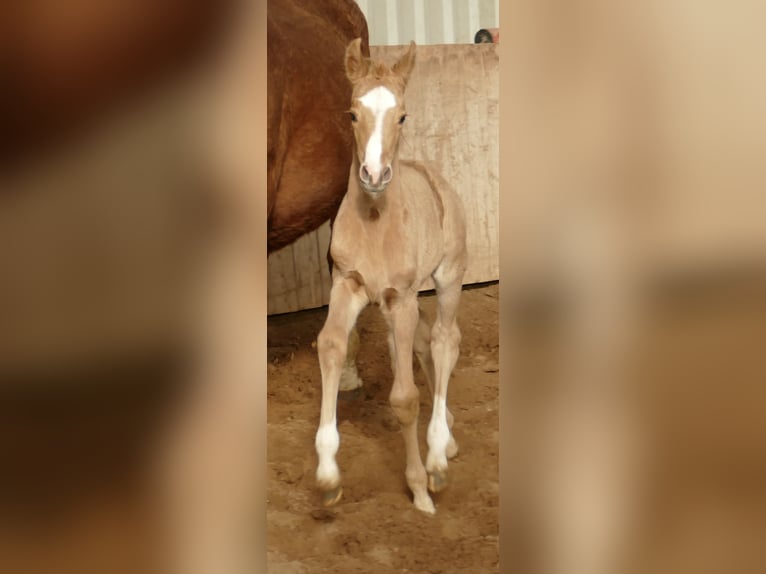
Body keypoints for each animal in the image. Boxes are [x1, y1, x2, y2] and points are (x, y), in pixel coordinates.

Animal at [314, 40, 468, 516]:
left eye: (402, 115)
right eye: (351, 113)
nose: (374, 175)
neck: (375, 221)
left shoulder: (401, 297)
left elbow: (404, 398)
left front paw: (422, 485)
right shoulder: (348, 284)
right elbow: (330, 345)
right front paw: (327, 474)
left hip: (448, 276)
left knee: (443, 339)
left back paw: (439, 452)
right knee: (420, 342)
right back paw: (447, 435)